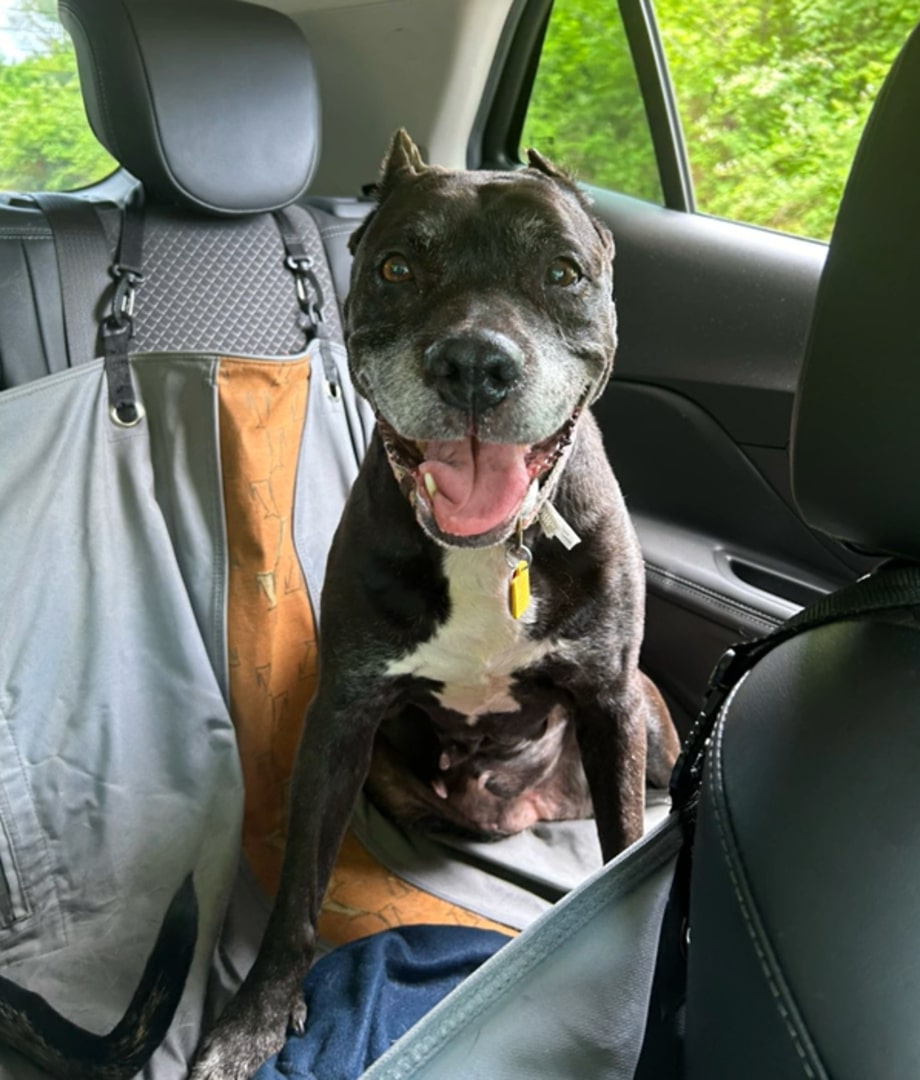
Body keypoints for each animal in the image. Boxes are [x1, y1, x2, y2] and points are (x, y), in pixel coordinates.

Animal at [188, 130, 673, 1075]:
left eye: (562, 272)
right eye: (398, 267)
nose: (475, 363)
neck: (486, 554)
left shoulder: (609, 702)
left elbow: (625, 847)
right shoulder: (340, 720)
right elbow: (298, 892)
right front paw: (251, 1020)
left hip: (652, 718)